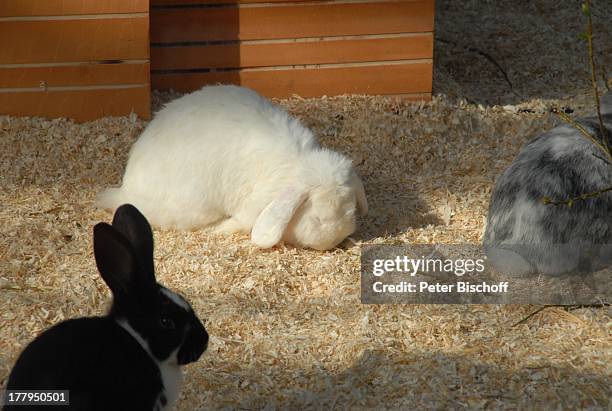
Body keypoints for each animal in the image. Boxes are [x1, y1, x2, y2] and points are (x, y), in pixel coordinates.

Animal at [97, 85, 366, 249]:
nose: (333, 241)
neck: (294, 168)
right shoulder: (252, 206)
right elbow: (243, 221)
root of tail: (126, 188)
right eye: (318, 219)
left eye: (350, 211)